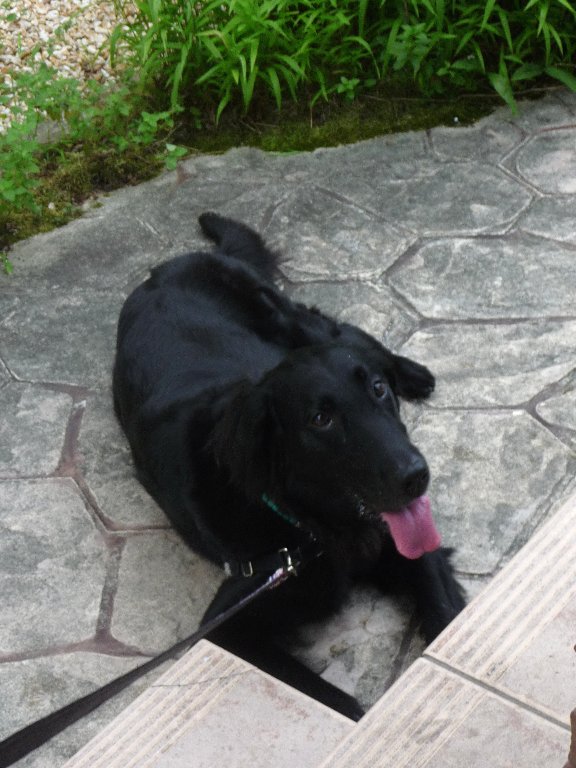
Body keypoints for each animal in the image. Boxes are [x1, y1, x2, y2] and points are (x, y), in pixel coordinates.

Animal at [112, 213, 465, 720]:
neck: (309, 526)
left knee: (345, 331)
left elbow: (445, 613)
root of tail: (166, 267)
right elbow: (338, 702)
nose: (417, 477)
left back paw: (414, 372)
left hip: (293, 320)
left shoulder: (404, 543)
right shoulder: (226, 625)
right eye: (321, 419)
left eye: (377, 390)